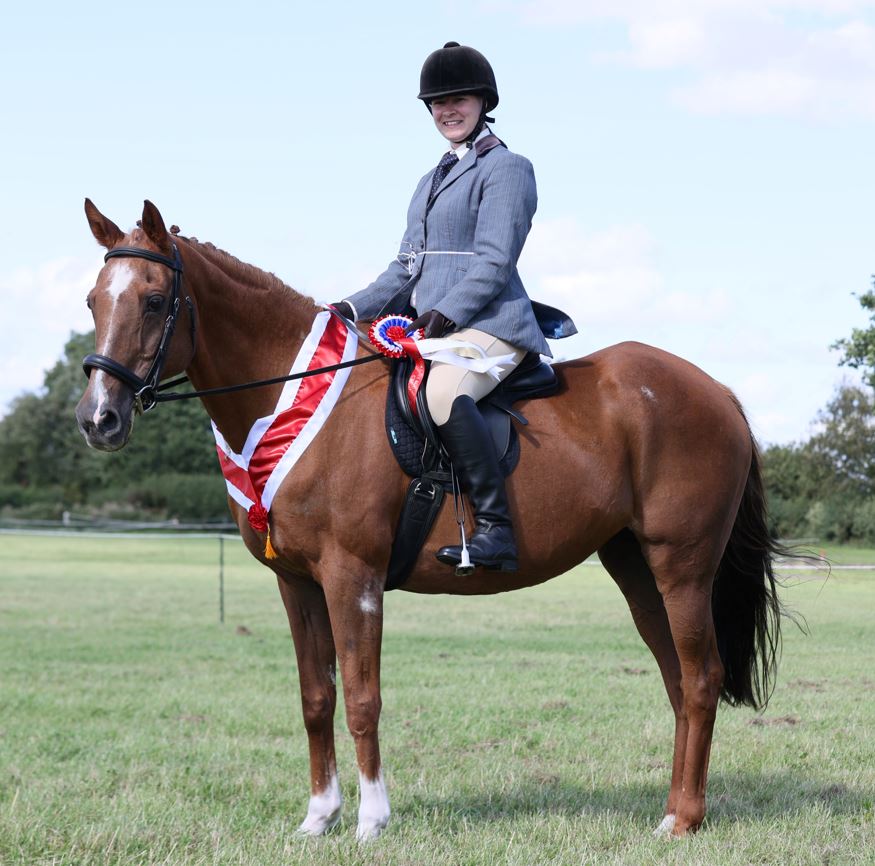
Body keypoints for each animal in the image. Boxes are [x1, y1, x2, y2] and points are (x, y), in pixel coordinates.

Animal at [77, 197, 788, 836]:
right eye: (92, 301)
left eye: (154, 302)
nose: (97, 418)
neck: (295, 398)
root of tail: (714, 390)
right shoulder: (298, 582)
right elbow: (316, 699)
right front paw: (319, 818)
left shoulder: (353, 577)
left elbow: (362, 699)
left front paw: (371, 821)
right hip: (635, 567)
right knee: (678, 681)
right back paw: (674, 809)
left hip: (682, 567)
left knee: (701, 679)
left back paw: (685, 819)